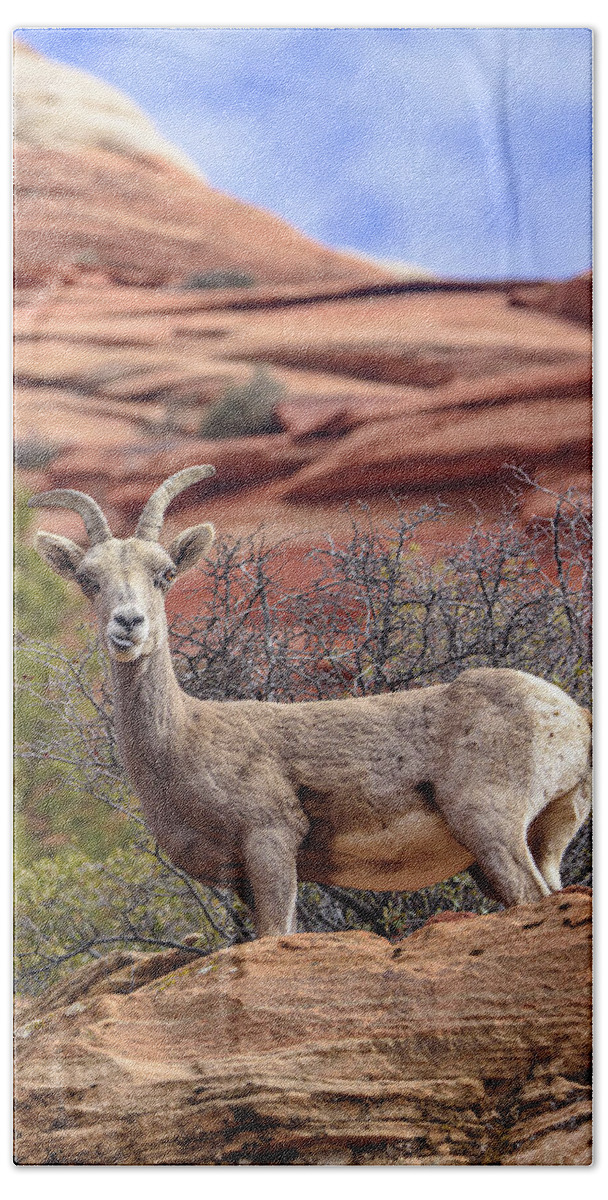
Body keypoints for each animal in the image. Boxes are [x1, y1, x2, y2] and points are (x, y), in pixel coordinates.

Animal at [29, 466, 592, 936]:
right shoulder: (242, 879)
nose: (128, 623)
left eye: (165, 574)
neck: (186, 739)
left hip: (492, 825)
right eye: (88, 579)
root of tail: (573, 717)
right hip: (542, 837)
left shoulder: (271, 843)